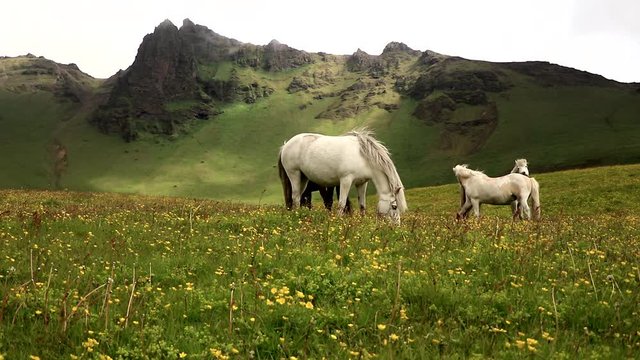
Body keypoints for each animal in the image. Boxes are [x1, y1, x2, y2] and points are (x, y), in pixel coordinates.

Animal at [278, 128, 408, 224]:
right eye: (394, 206)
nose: (396, 226)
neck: (363, 157)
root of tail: (285, 145)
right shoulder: (346, 180)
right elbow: (341, 204)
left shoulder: (362, 183)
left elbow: (362, 205)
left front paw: (362, 221)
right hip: (294, 174)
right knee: (295, 197)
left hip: (304, 179)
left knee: (299, 197)